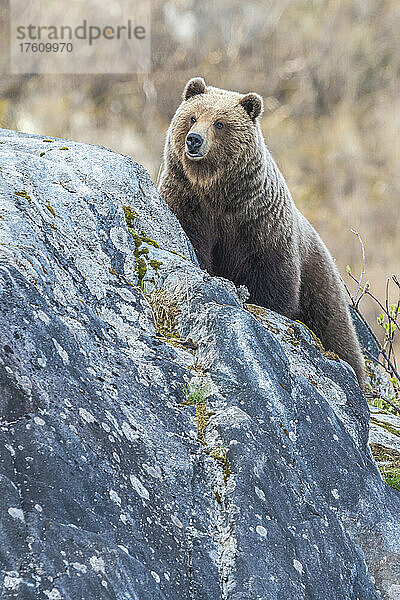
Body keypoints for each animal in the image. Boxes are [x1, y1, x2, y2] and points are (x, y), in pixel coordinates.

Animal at [159, 77, 366, 386]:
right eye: (192, 117)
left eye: (220, 123)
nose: (194, 140)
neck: (219, 194)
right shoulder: (189, 204)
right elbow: (194, 243)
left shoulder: (261, 223)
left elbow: (274, 277)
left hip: (323, 289)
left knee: (338, 335)